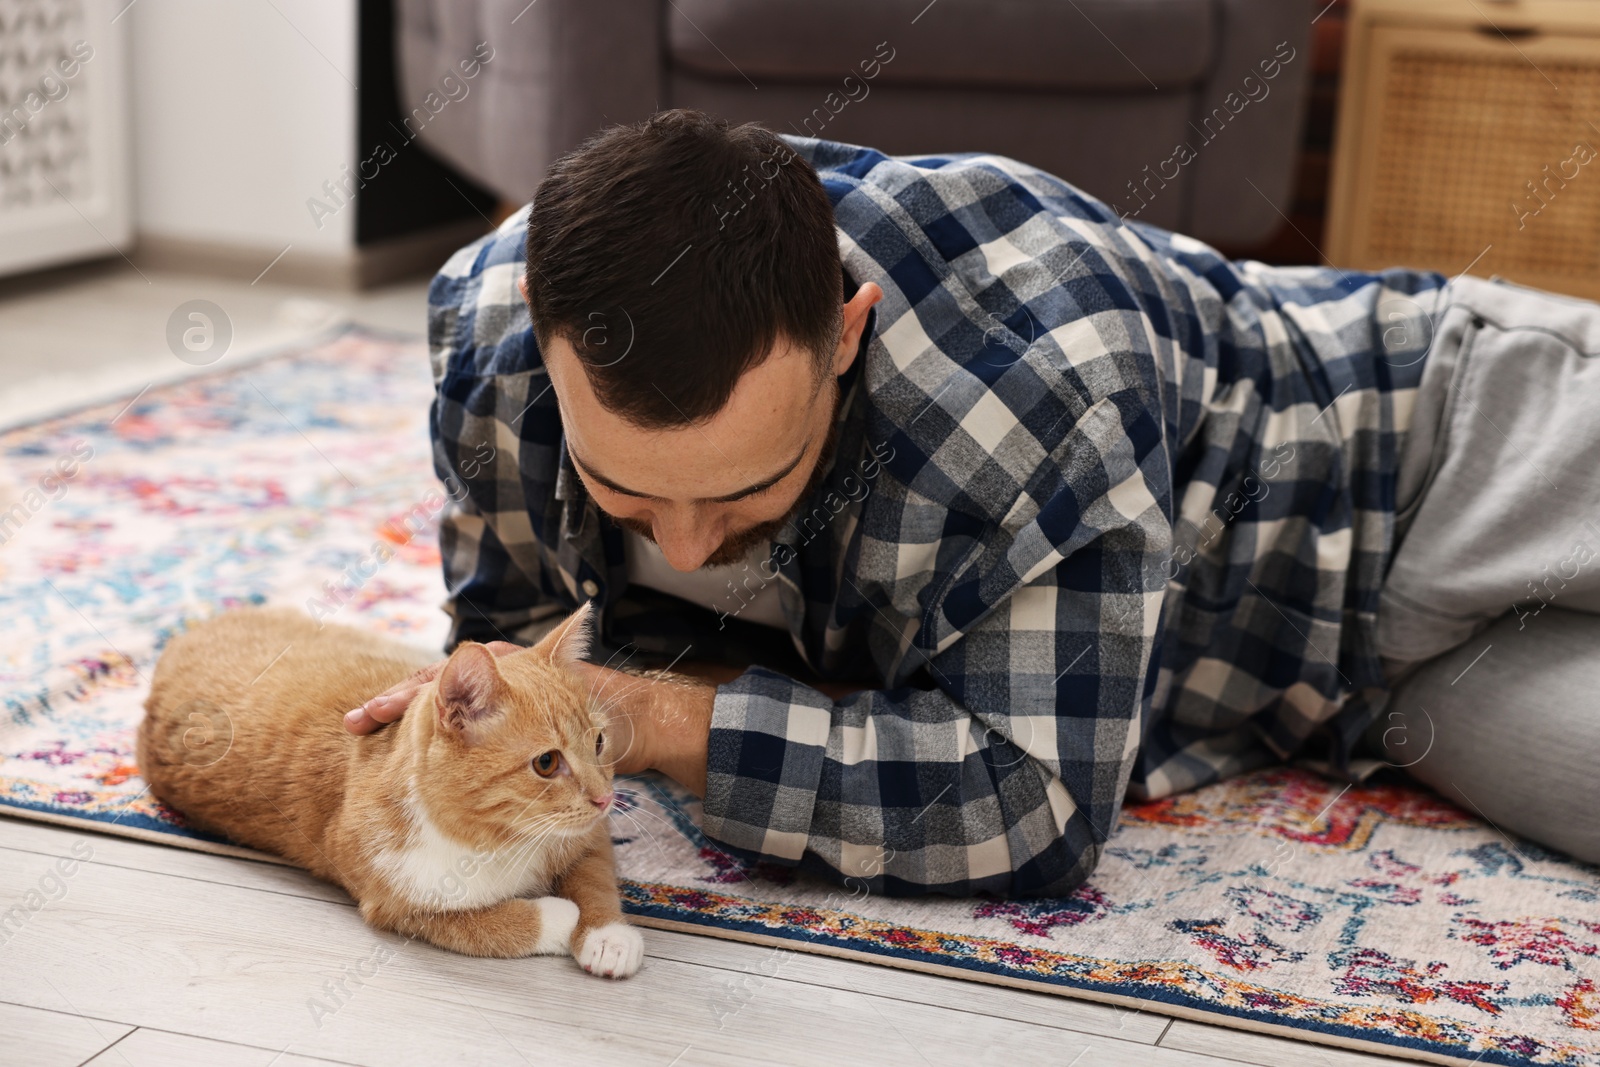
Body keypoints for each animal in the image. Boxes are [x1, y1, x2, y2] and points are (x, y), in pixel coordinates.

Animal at [132, 601, 643, 979]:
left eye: (599, 742)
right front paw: (560, 918)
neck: (502, 840)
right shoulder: (397, 905)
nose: (604, 798)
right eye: (546, 763)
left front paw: (607, 936)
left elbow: (594, 879)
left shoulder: (588, 836)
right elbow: (494, 926)